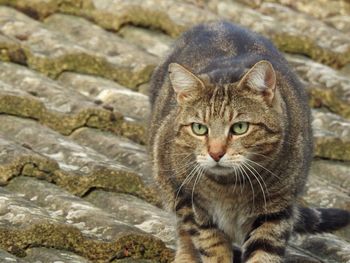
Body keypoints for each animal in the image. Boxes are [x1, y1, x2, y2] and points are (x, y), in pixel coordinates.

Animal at [148, 21, 350, 263]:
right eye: (199, 128)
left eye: (240, 128)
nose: (216, 153)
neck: (229, 188)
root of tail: (217, 21)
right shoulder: (186, 198)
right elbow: (210, 243)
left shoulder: (276, 210)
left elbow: (263, 253)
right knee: (184, 232)